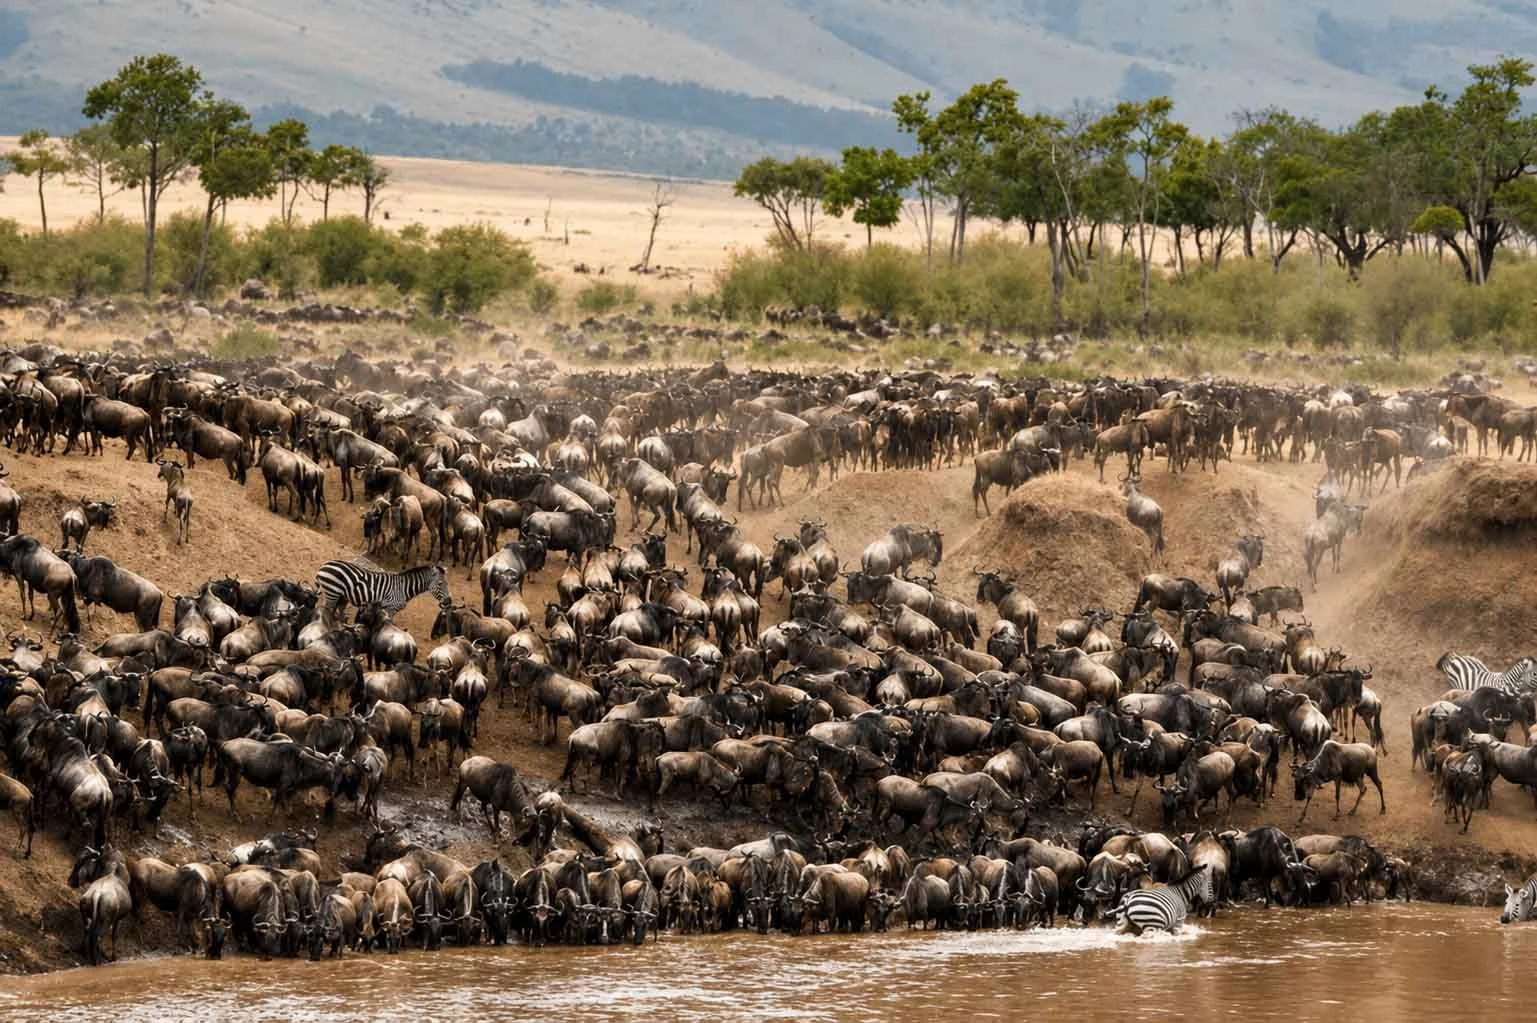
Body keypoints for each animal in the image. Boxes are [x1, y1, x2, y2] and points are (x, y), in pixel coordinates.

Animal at [315, 560, 450, 628]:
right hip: (332, 592)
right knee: (327, 610)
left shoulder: (381, 606)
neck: (403, 588)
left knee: (338, 610)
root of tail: (324, 565)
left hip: (342, 595)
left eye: (447, 584)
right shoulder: (391, 608)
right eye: (440, 584)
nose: (449, 602)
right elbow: (389, 624)